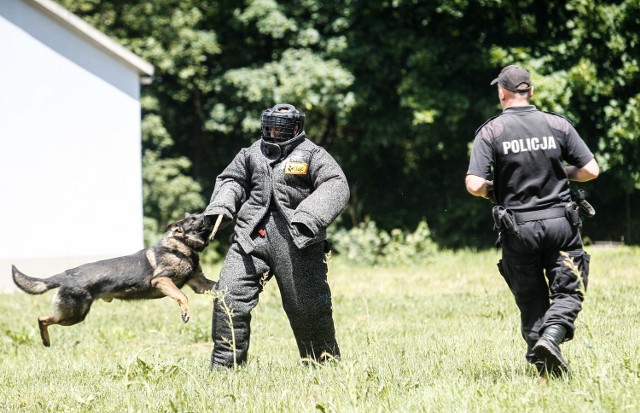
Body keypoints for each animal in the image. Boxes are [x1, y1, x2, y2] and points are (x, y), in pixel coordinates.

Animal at [11, 212, 216, 344]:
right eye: (193, 219)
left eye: (199, 214)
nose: (209, 215)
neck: (181, 246)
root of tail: (65, 274)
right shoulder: (161, 280)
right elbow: (183, 296)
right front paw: (185, 312)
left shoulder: (199, 283)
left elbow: (214, 285)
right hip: (73, 314)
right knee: (41, 319)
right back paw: (45, 340)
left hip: (74, 315)